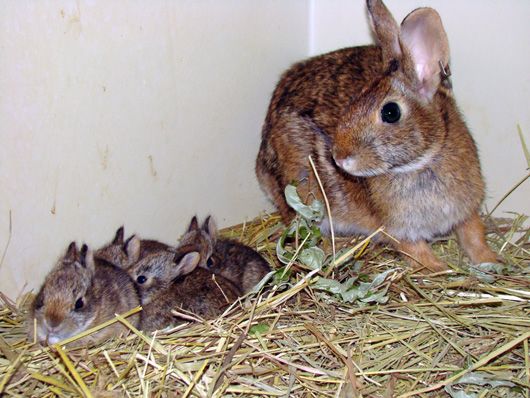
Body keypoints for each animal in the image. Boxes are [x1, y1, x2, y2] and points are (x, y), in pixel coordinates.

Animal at [254, 0, 498, 270]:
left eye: (391, 112)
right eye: (356, 97)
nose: (338, 157)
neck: (424, 160)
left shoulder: (466, 210)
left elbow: (474, 235)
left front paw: (491, 260)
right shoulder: (398, 229)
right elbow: (417, 252)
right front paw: (441, 269)